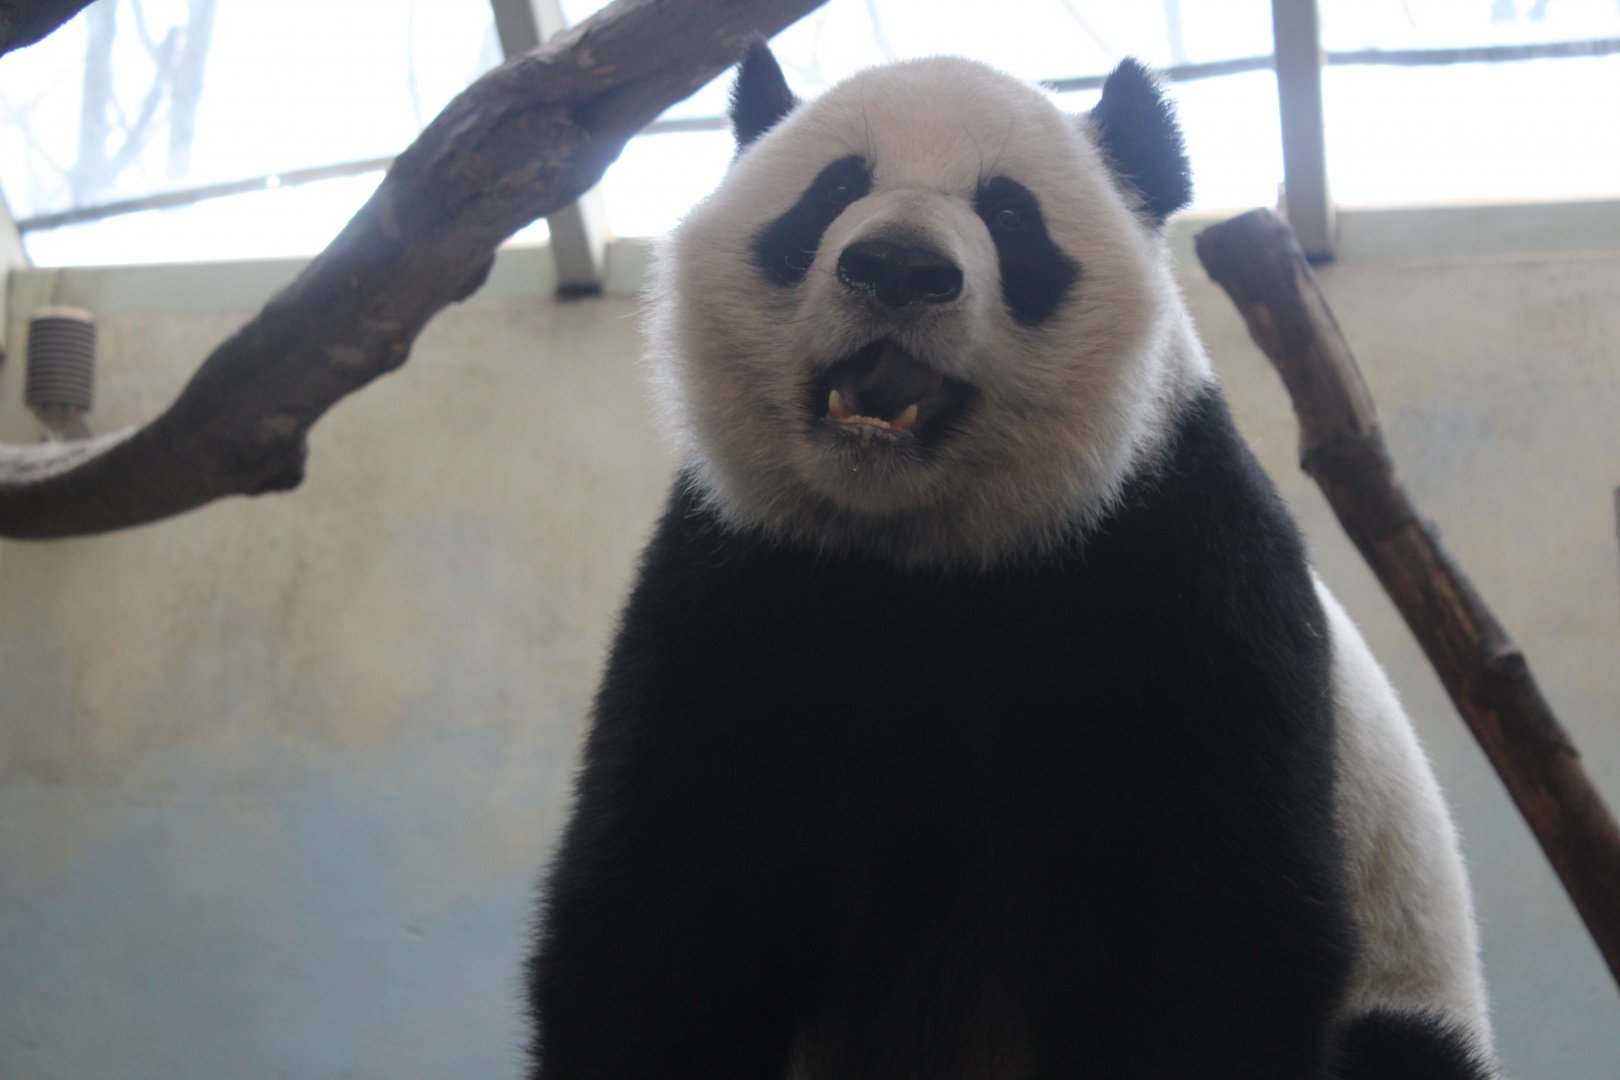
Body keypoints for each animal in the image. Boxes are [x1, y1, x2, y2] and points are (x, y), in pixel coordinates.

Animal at [527, 41, 1496, 1079]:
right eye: (836, 189)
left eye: (1009, 215)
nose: (898, 267)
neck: (918, 543)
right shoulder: (748, 573)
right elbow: (674, 899)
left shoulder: (1166, 564)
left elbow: (1193, 934)